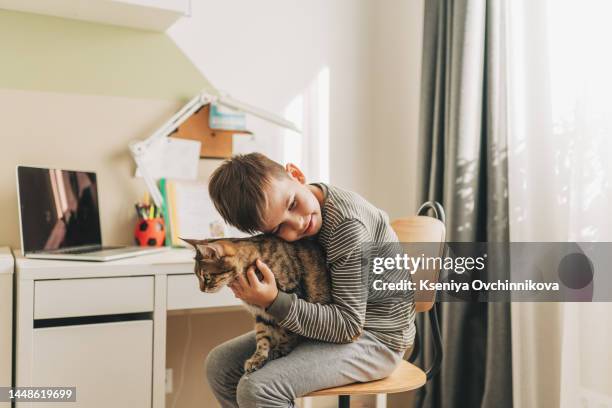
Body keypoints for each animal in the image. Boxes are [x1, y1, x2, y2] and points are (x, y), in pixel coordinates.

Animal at [184, 236, 332, 372]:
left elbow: (286, 331)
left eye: (206, 277)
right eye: (197, 276)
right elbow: (262, 335)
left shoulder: (292, 294)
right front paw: (258, 357)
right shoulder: (261, 312)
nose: (201, 289)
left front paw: (281, 348)